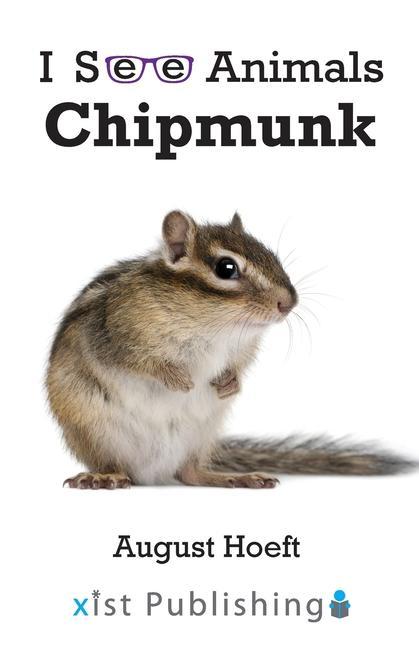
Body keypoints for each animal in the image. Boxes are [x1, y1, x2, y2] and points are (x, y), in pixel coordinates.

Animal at [47, 210, 413, 489]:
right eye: (226, 267)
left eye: (271, 256)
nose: (289, 302)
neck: (214, 327)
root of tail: (153, 473)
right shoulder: (112, 333)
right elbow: (137, 361)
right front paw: (178, 379)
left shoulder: (242, 348)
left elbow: (237, 365)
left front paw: (230, 383)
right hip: (97, 433)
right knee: (117, 465)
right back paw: (103, 477)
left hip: (199, 436)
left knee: (190, 473)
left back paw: (235, 478)